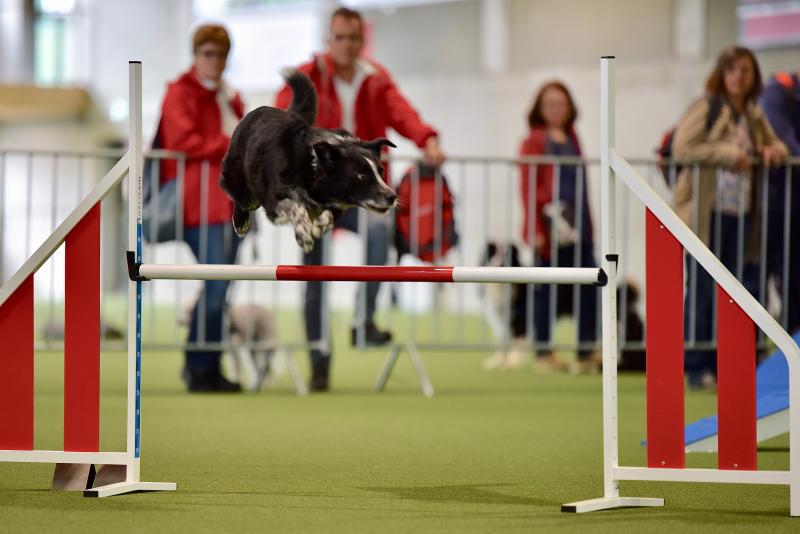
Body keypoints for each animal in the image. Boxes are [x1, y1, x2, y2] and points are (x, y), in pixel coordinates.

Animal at [220, 69, 397, 252]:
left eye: (381, 172)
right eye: (361, 176)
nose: (392, 196)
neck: (312, 165)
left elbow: (327, 216)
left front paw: (320, 224)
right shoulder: (275, 199)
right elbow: (296, 208)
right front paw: (304, 235)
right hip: (242, 185)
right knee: (238, 196)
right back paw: (240, 222)